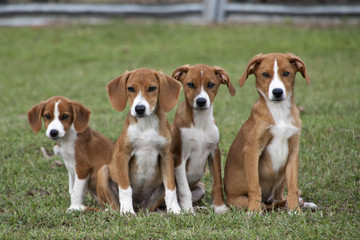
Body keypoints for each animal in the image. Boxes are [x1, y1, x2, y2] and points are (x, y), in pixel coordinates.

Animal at [172, 63, 236, 214]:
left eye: (210, 84)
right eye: (190, 84)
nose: (201, 101)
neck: (200, 122)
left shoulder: (214, 153)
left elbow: (217, 183)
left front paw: (220, 207)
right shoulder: (180, 157)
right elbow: (184, 189)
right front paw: (188, 211)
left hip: (201, 188)